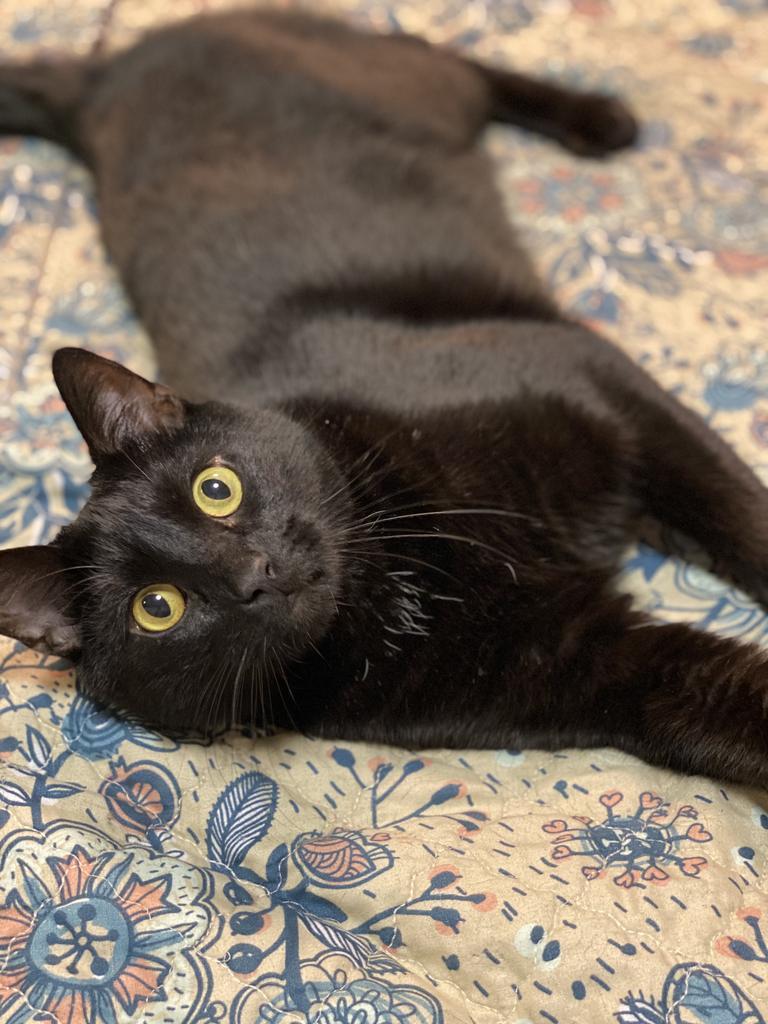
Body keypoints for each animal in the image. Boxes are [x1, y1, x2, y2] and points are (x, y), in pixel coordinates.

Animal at [1, 8, 768, 782]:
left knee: (451, 58)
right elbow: (721, 696)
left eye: (216, 489)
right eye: (157, 608)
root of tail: (101, 83)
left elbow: (744, 518)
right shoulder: (588, 662)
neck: (388, 579)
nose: (256, 573)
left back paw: (600, 119)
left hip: (406, 83)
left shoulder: (588, 371)